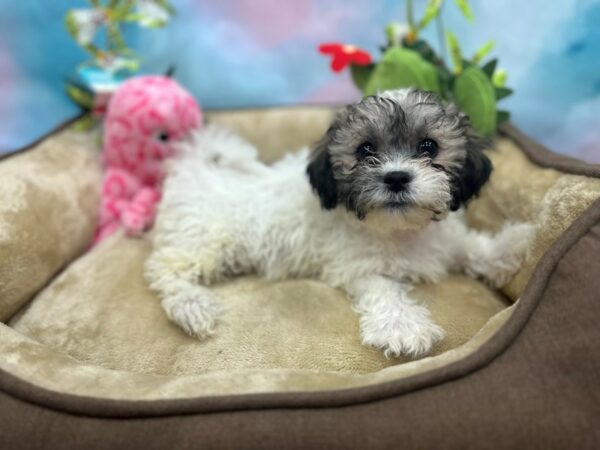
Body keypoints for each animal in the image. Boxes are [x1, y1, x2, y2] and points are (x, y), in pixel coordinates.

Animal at [146, 87, 536, 356]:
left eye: (429, 146)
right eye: (365, 149)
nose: (396, 177)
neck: (400, 230)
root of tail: (193, 166)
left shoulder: (444, 240)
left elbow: (470, 246)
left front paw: (516, 242)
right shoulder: (356, 266)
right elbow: (384, 288)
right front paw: (402, 326)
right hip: (205, 239)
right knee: (164, 270)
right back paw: (192, 306)